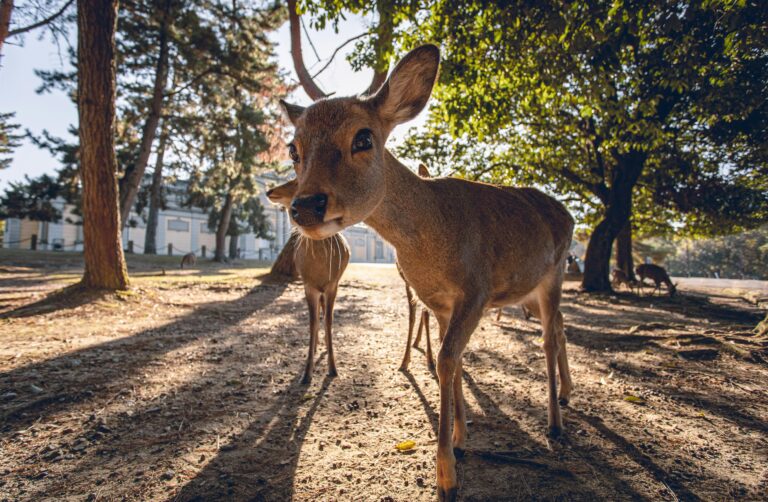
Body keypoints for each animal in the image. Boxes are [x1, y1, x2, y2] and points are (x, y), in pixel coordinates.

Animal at [266, 179, 351, 384]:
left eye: (297, 181)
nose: (269, 191)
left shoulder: (332, 285)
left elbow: (329, 320)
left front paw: (333, 369)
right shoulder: (308, 285)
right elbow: (312, 323)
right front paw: (306, 374)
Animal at [278, 45, 574, 500]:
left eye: (363, 138)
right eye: (293, 148)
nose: (306, 206)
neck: (432, 242)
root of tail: (569, 214)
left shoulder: (476, 290)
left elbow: (448, 359)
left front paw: (446, 475)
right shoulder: (435, 300)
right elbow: (448, 360)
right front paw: (461, 438)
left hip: (555, 272)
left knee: (548, 337)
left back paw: (555, 424)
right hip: (533, 289)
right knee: (559, 326)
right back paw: (567, 397)